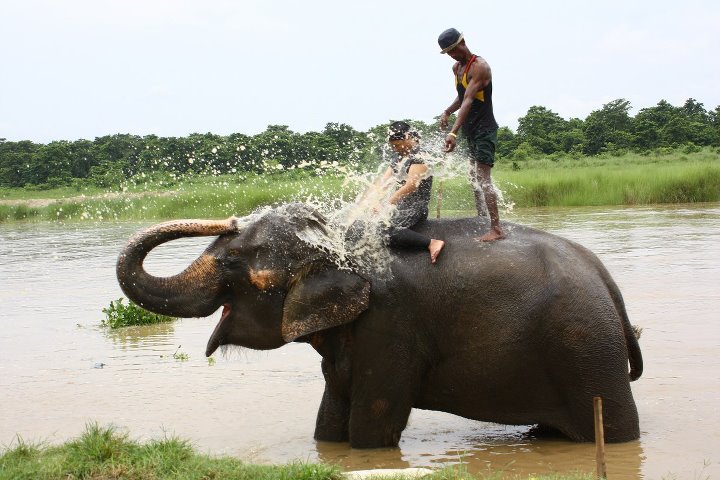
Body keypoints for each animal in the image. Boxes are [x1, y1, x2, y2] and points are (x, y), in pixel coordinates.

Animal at [116, 202, 640, 446]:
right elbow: (330, 415)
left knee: (614, 427)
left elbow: (374, 419)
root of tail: (607, 282)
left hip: (586, 350)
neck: (339, 245)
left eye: (231, 266)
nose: (229, 217)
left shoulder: (390, 327)